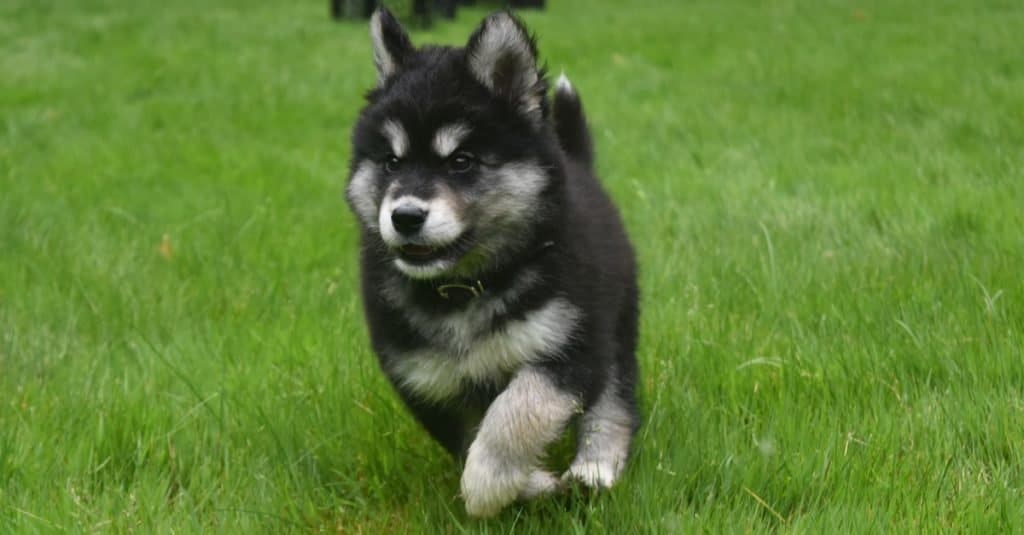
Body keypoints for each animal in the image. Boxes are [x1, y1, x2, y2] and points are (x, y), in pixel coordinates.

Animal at [344, 7, 638, 516]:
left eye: (461, 161)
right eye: (391, 163)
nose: (404, 216)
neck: (466, 287)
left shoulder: (568, 348)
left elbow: (512, 418)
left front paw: (493, 485)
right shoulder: (427, 380)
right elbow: (468, 443)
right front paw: (533, 485)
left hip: (615, 325)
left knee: (613, 401)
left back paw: (595, 467)